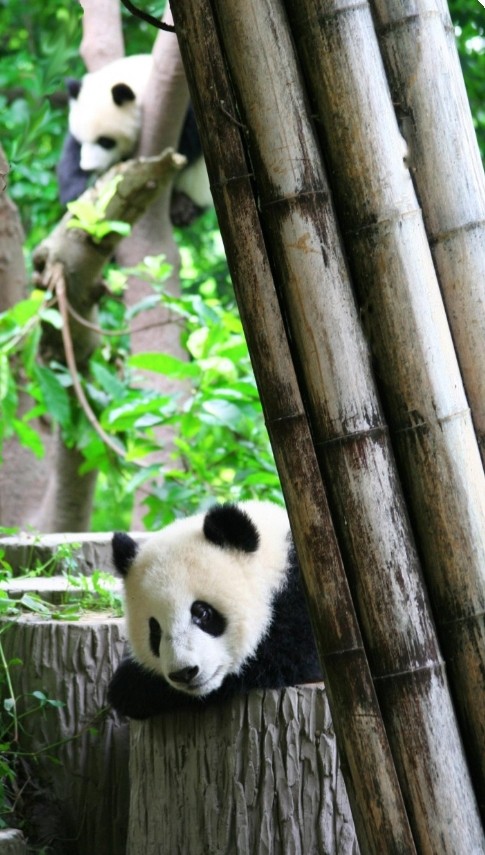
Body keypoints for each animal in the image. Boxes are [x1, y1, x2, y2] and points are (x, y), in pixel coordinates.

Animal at [57, 54, 212, 226]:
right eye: (81, 140)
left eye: (105, 142)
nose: (89, 168)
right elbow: (70, 156)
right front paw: (78, 190)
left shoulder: (186, 113)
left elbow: (189, 144)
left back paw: (182, 208)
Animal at [108, 501, 322, 719]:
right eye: (155, 629)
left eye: (202, 612)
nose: (184, 673)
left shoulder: (301, 601)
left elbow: (285, 654)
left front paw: (131, 685)